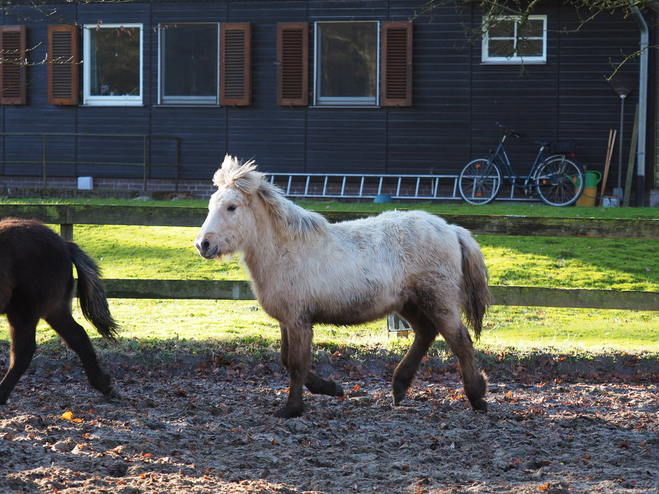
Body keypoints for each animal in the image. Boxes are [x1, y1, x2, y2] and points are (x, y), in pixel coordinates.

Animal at [0, 218, 120, 404]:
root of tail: (65, 245)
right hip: (55, 310)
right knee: (78, 337)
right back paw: (104, 386)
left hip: (23, 312)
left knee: (22, 353)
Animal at [196, 155, 490, 416]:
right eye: (210, 206)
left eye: (231, 207)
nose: (203, 244)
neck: (285, 250)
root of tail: (452, 229)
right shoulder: (287, 320)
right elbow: (286, 359)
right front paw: (331, 388)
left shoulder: (299, 320)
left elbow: (296, 364)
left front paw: (292, 408)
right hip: (409, 303)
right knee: (426, 333)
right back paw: (399, 387)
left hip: (439, 300)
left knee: (460, 341)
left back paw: (477, 397)